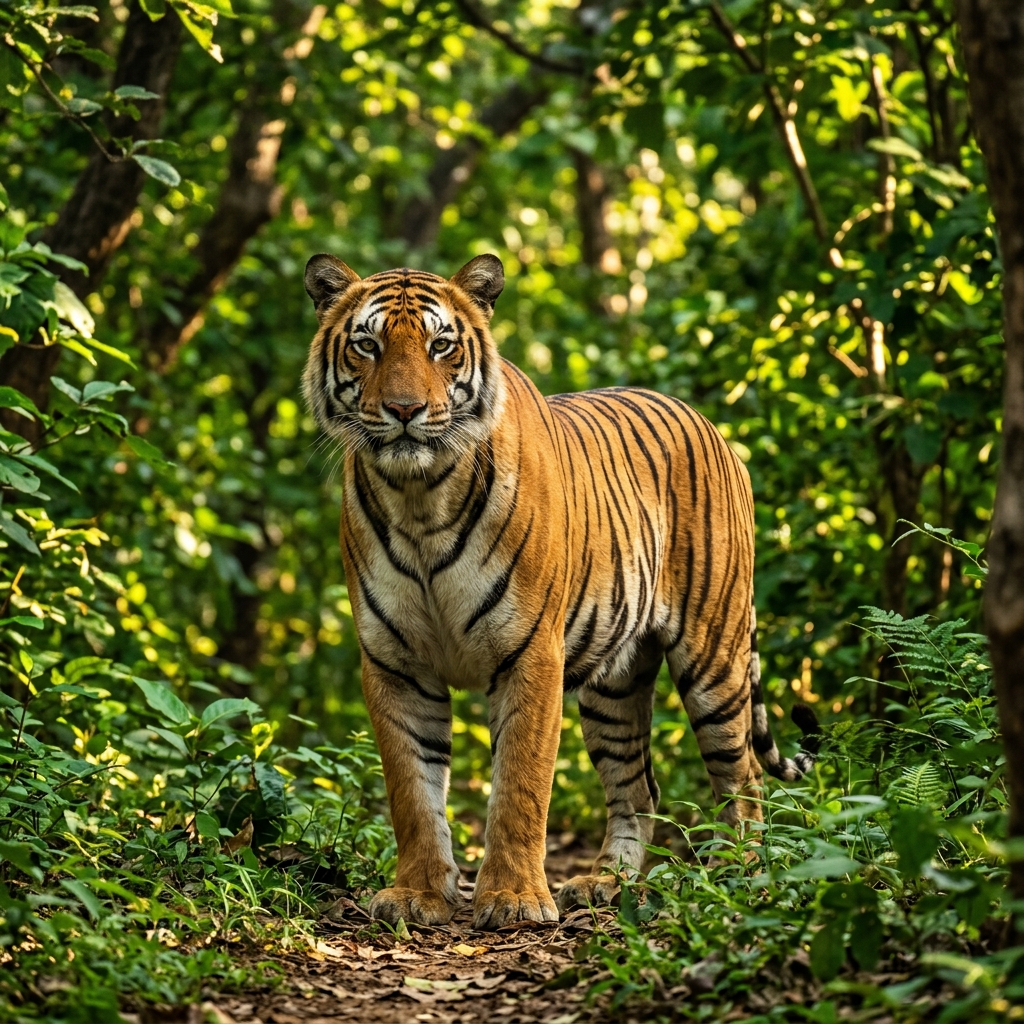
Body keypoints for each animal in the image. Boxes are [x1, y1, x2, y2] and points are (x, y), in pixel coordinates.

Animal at [301, 252, 816, 930]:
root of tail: (716, 430)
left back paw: (743, 878)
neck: (420, 498)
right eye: (368, 345)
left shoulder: (530, 653)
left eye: (441, 346)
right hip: (615, 684)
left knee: (744, 777)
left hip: (715, 657)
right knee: (638, 788)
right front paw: (418, 895)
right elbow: (412, 789)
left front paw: (513, 899)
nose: (405, 410)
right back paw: (606, 883)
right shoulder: (395, 662)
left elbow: (520, 783)